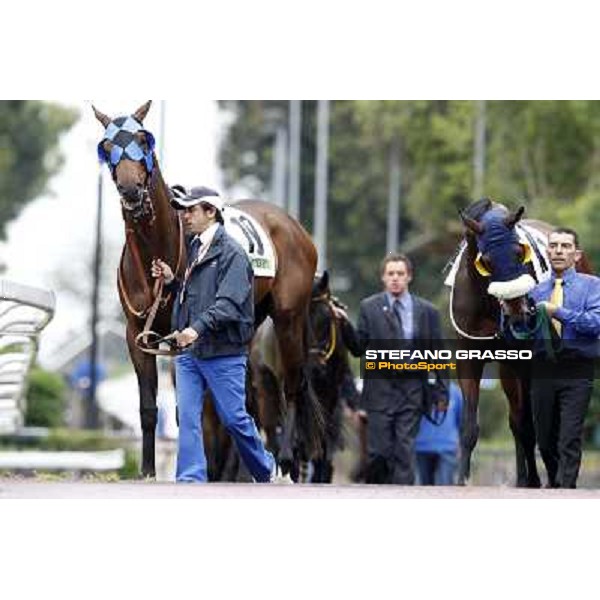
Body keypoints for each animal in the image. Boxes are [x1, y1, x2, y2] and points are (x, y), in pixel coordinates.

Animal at [92, 103, 324, 478]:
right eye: (107, 146)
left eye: (142, 140)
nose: (131, 191)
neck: (157, 250)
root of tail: (291, 223)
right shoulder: (137, 334)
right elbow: (150, 407)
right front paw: (148, 470)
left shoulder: (184, 334)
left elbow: (193, 408)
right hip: (246, 323)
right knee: (240, 400)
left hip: (288, 318)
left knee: (291, 382)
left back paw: (286, 459)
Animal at [452, 199, 592, 486]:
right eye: (486, 261)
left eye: (520, 253)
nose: (520, 313)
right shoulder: (469, 355)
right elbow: (471, 424)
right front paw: (461, 479)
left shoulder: (525, 362)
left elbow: (530, 423)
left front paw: (540, 478)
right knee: (516, 419)